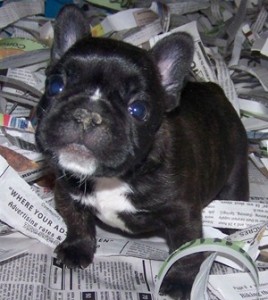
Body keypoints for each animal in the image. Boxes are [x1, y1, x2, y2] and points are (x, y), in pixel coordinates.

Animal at [35, 4, 249, 300]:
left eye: (138, 109)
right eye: (55, 86)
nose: (88, 114)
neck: (113, 178)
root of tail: (216, 90)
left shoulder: (183, 216)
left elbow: (186, 252)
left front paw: (180, 282)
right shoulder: (67, 191)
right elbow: (78, 221)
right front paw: (77, 249)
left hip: (236, 172)